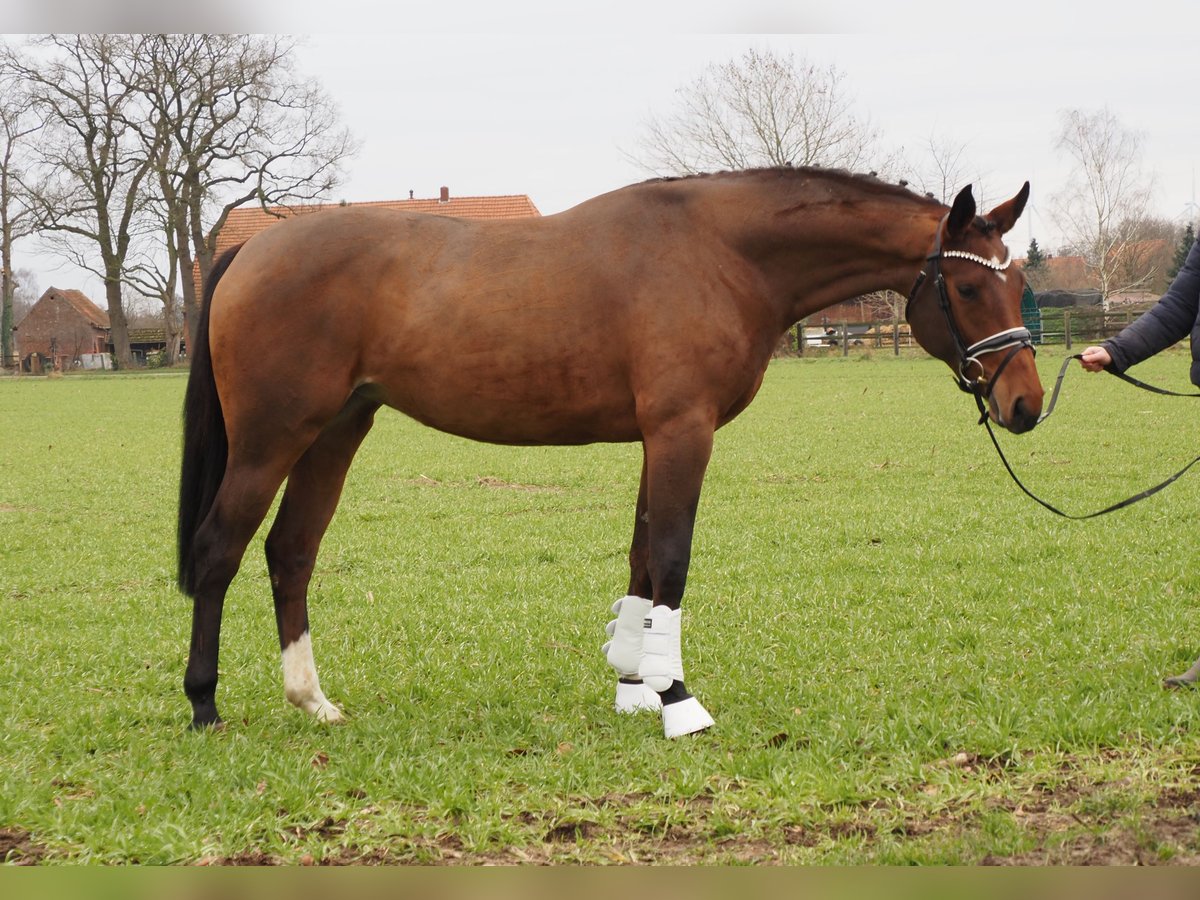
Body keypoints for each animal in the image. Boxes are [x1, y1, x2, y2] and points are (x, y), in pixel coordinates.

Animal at [175, 169, 1041, 739]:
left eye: (1019, 282)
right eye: (969, 290)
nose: (1026, 404)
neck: (720, 252)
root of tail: (254, 251)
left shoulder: (659, 437)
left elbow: (641, 559)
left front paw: (635, 684)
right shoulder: (683, 430)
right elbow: (673, 559)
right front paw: (679, 699)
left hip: (337, 431)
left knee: (290, 554)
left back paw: (312, 701)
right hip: (273, 439)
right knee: (219, 551)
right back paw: (205, 705)